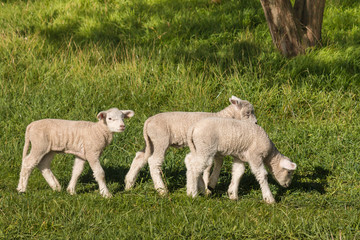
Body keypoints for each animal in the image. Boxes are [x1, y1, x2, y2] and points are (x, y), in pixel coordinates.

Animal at [125, 95, 258, 195]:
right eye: (248, 113)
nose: (256, 123)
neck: (223, 117)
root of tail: (148, 121)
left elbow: (214, 163)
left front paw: (207, 185)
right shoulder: (209, 145)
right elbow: (210, 164)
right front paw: (207, 186)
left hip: (150, 142)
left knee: (140, 157)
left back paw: (129, 184)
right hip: (160, 140)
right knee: (153, 161)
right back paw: (162, 190)